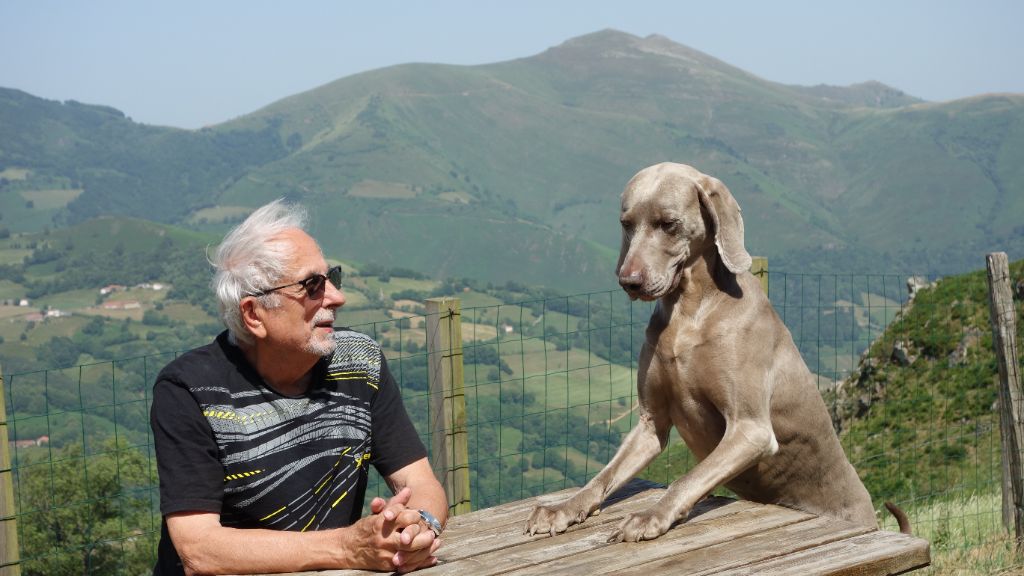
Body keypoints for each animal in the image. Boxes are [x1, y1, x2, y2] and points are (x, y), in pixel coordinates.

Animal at [528, 162, 905, 541]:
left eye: (669, 223)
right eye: (626, 223)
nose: (628, 281)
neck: (689, 313)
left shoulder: (751, 430)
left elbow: (685, 479)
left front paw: (649, 516)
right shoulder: (651, 424)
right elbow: (605, 475)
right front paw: (562, 508)